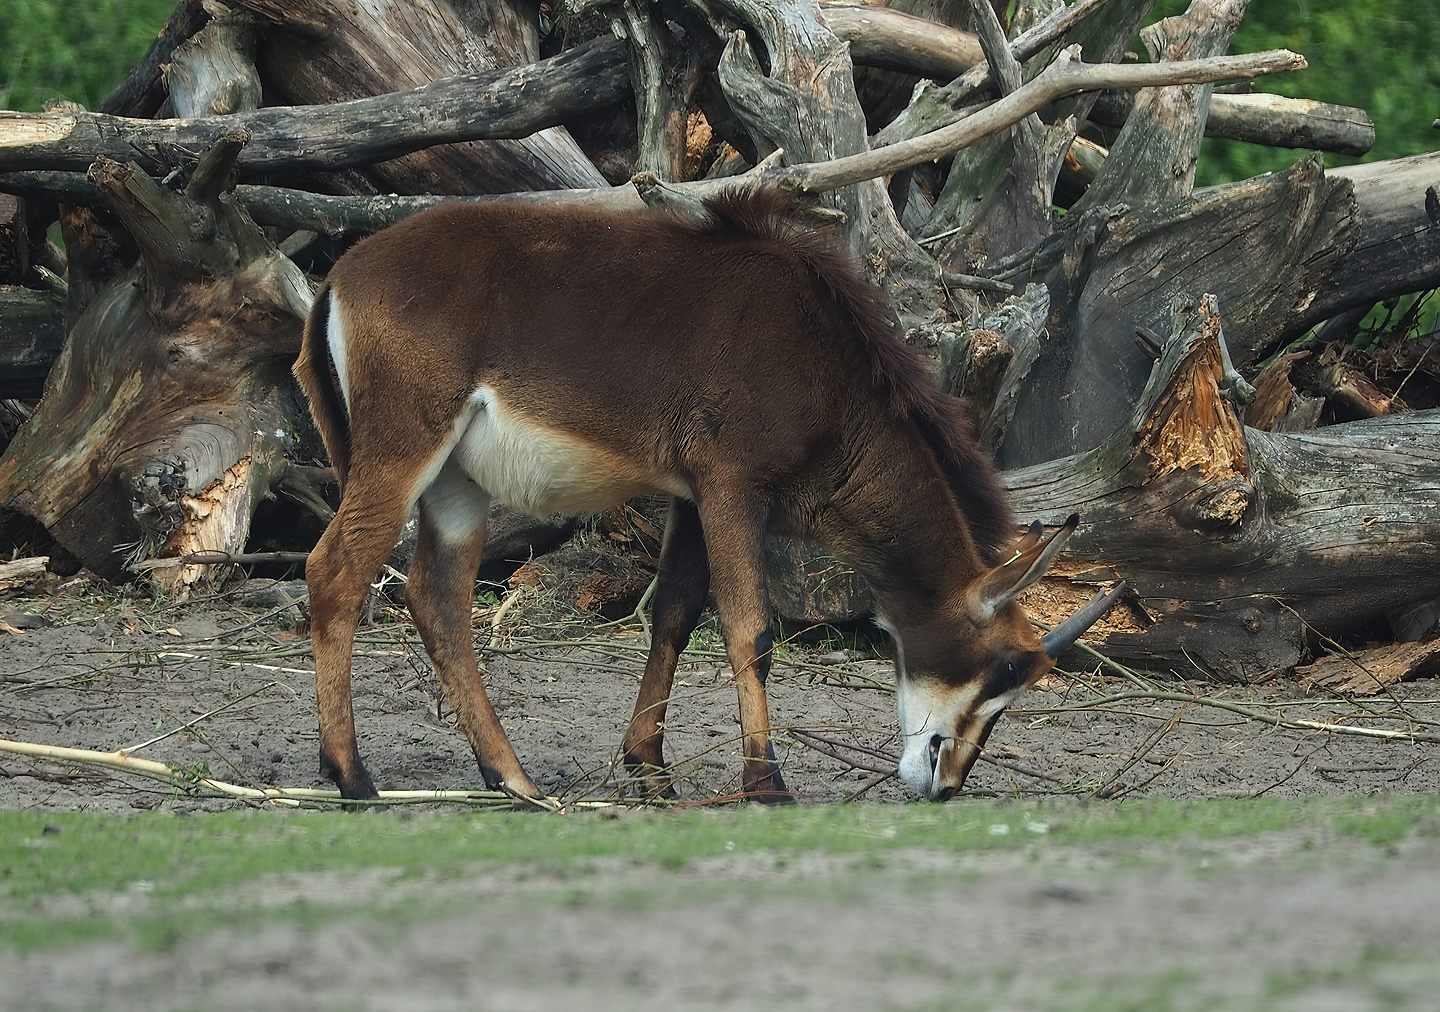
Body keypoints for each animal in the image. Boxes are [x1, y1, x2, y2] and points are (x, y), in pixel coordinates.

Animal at [295, 186, 1121, 803]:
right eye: (1003, 668)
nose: (942, 784)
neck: (827, 360)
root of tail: (340, 279)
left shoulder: (691, 496)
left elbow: (674, 614)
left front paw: (650, 769)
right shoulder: (732, 485)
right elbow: (750, 631)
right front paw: (767, 783)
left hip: (457, 486)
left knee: (436, 599)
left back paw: (513, 779)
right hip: (404, 445)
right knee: (336, 571)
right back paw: (354, 778)